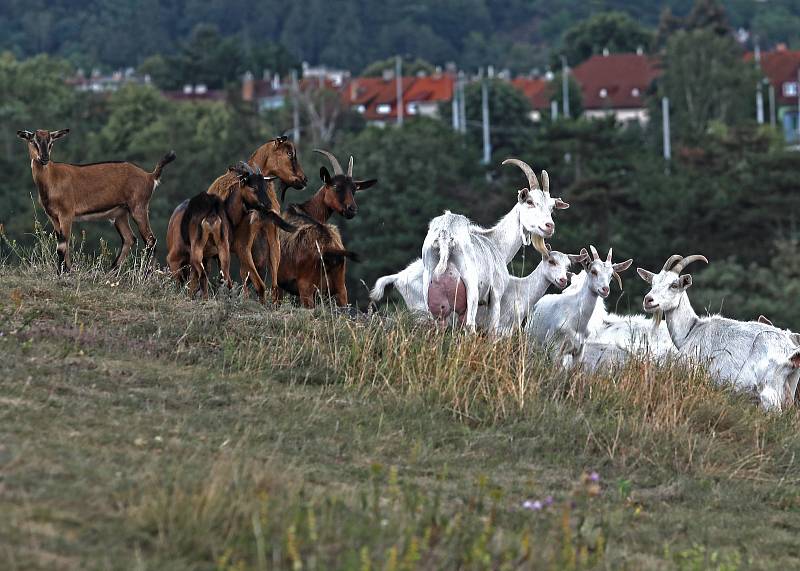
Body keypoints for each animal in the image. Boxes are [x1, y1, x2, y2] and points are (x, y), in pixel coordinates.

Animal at [16, 130, 176, 272]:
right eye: (33, 140)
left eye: (51, 141)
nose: (44, 158)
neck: (52, 178)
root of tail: (150, 176)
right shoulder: (53, 216)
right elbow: (63, 243)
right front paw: (67, 271)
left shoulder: (66, 214)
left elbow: (62, 246)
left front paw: (62, 273)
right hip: (120, 214)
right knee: (129, 239)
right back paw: (110, 272)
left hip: (138, 208)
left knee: (150, 241)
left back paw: (146, 275)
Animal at [278, 150, 378, 306]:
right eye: (336, 187)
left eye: (354, 190)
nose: (352, 210)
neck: (305, 211)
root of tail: (330, 249)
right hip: (341, 289)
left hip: (306, 288)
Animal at [636, 255, 800, 412]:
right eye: (652, 283)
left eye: (674, 285)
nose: (648, 300)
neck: (692, 329)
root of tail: (791, 352)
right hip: (789, 388)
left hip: (768, 391)